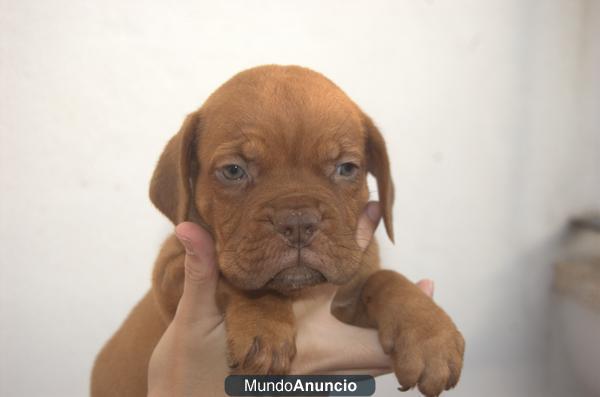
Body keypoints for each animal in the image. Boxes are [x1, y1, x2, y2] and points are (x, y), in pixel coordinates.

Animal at [91, 65, 464, 396]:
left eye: (346, 168)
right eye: (233, 171)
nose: (297, 222)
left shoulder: (347, 298)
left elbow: (385, 279)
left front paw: (429, 333)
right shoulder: (171, 272)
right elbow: (241, 282)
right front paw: (263, 325)